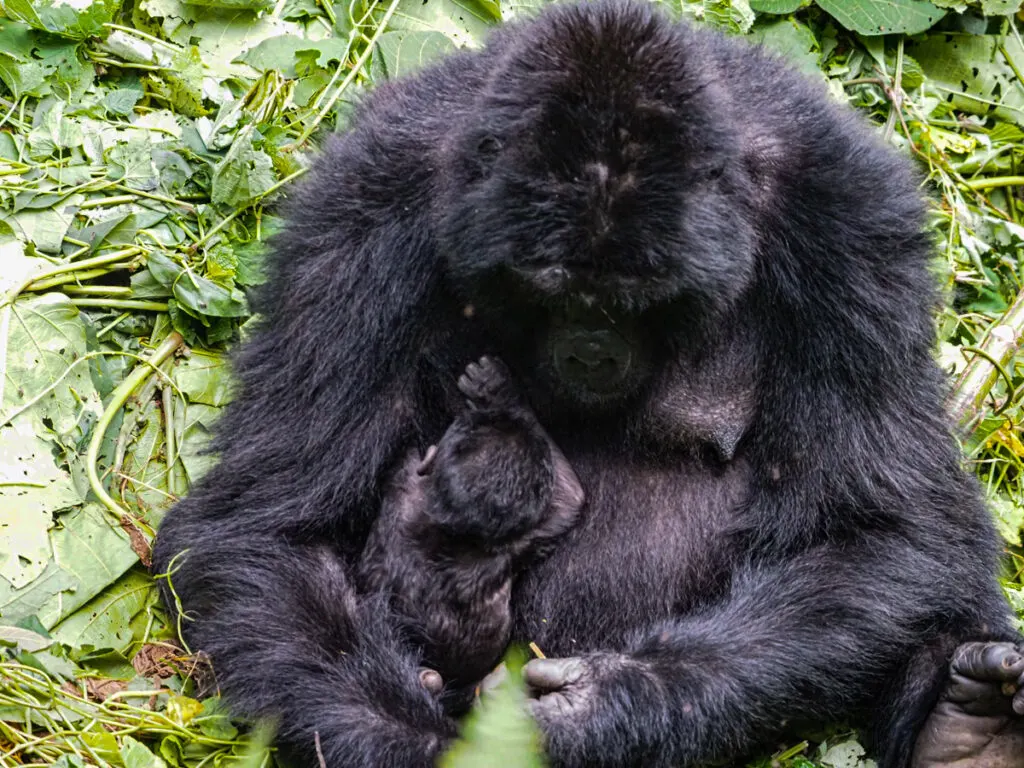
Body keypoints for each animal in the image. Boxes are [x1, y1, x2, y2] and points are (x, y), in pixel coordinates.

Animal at [360, 358, 585, 708]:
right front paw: (502, 395)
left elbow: (569, 498)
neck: (450, 526)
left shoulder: (405, 479)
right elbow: (568, 497)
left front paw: (499, 394)